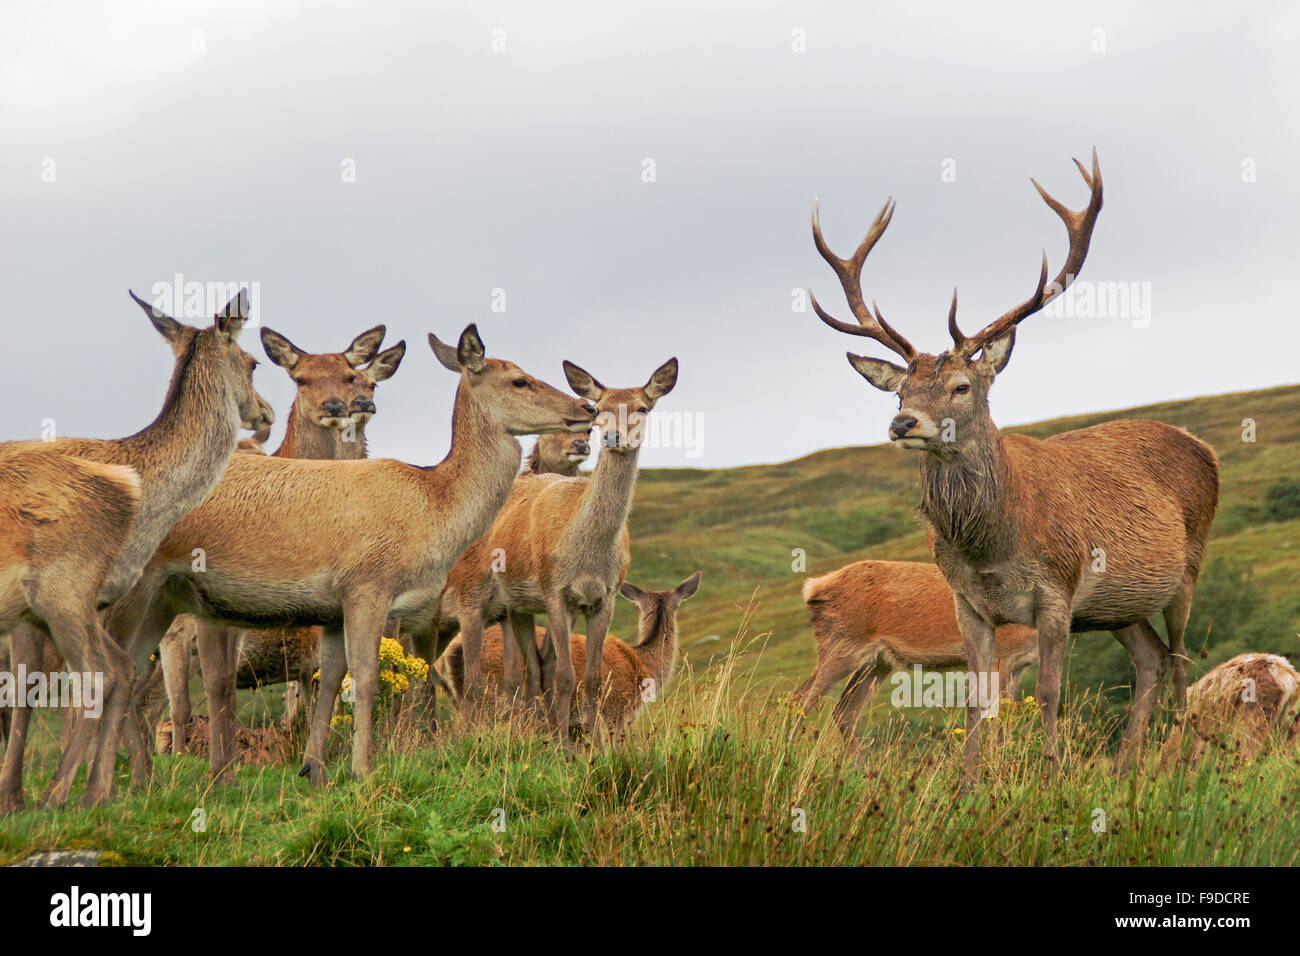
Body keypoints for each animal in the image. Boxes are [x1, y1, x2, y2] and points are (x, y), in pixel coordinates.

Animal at [0, 287, 267, 811]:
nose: (264, 411)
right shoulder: (88, 594)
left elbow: (110, 679)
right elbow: (79, 685)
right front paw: (79, 794)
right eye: (253, 363)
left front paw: (101, 791)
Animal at [87, 325, 598, 790]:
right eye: (519, 380)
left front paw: (314, 770)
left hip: (164, 596)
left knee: (132, 677)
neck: (432, 510)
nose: (586, 410)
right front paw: (362, 770)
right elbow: (367, 678)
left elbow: (332, 680)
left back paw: (138, 781)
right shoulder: (367, 585)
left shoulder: (330, 608)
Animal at [790, 556, 1034, 749]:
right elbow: (995, 716)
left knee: (845, 710)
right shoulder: (1001, 655)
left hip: (877, 661)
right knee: (799, 698)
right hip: (840, 644)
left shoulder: (1019, 665)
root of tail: (813, 588)